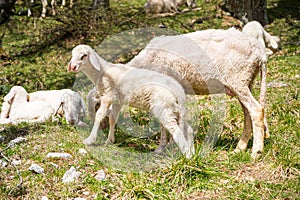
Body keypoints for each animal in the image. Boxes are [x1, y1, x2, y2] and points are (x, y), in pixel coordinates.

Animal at [127, 28, 268, 159]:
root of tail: (259, 52)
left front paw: (162, 148)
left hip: (238, 78)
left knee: (256, 110)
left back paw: (256, 152)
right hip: (246, 81)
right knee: (248, 114)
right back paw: (239, 149)